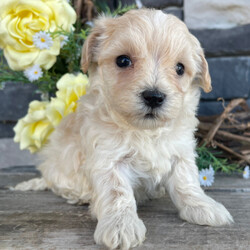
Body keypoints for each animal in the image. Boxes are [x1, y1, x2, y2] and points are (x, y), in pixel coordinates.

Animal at [15, 8, 234, 249]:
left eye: (180, 68)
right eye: (123, 60)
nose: (154, 96)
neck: (145, 131)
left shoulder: (181, 152)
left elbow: (187, 182)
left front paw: (204, 206)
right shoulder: (107, 158)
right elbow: (117, 192)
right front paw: (121, 226)